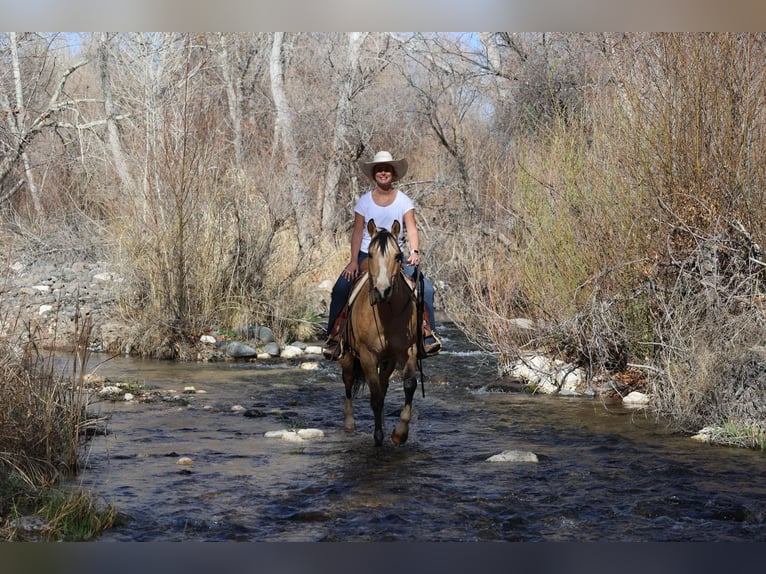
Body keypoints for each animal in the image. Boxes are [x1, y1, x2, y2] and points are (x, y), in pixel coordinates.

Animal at [339, 219, 420, 446]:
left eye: (398, 256)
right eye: (371, 254)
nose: (382, 291)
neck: (387, 314)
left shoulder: (407, 350)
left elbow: (409, 384)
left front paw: (399, 433)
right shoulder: (367, 355)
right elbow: (374, 395)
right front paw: (377, 437)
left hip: (388, 360)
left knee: (383, 386)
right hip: (347, 356)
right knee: (348, 381)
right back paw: (349, 423)